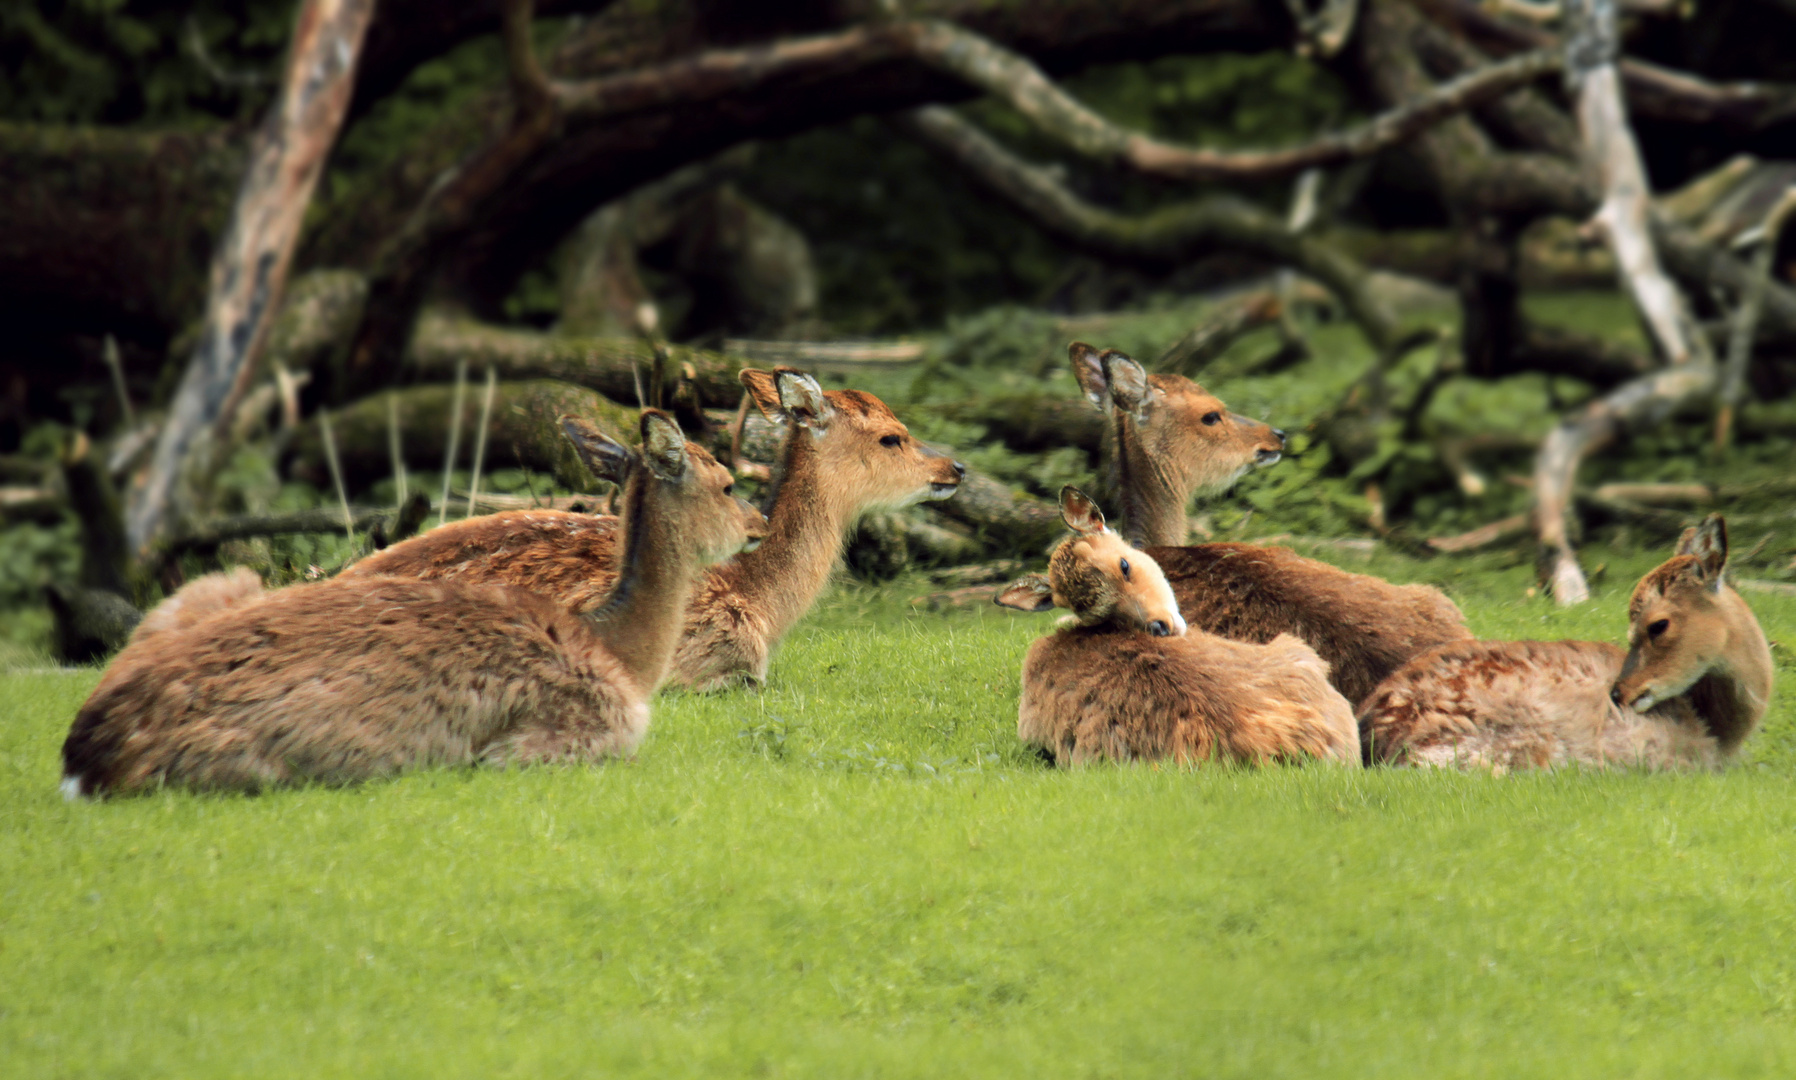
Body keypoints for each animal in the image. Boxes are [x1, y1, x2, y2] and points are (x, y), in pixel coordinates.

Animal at [57, 407, 765, 794]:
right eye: (729, 485)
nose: (759, 523)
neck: (620, 653)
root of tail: (82, 756)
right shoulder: (569, 739)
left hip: (211, 589)